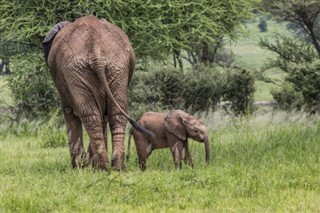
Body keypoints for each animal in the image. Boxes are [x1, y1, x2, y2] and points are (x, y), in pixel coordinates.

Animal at [42, 15, 151, 171]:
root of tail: (96, 47)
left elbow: (69, 112)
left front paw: (79, 168)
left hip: (79, 71)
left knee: (90, 115)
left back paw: (102, 167)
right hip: (114, 68)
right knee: (114, 113)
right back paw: (115, 167)